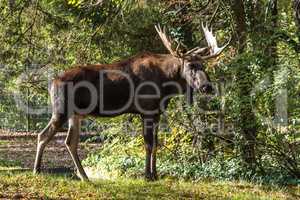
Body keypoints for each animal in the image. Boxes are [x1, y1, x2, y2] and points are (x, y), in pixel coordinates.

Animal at [32, 22, 229, 180]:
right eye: (190, 65)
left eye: (203, 65)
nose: (207, 87)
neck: (166, 86)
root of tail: (52, 83)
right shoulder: (146, 110)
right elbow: (148, 144)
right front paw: (147, 176)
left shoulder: (156, 113)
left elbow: (156, 143)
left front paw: (155, 174)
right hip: (61, 109)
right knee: (43, 135)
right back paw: (37, 170)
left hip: (76, 114)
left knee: (69, 142)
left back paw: (84, 176)